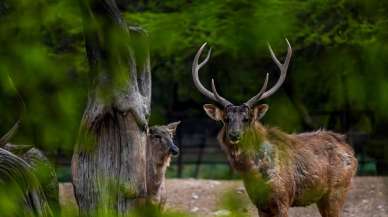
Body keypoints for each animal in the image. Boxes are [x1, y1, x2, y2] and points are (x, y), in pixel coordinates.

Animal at [192, 40, 358, 217]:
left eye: (247, 118)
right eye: (225, 119)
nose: (234, 134)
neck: (254, 173)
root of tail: (350, 150)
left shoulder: (283, 198)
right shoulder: (260, 204)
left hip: (337, 191)